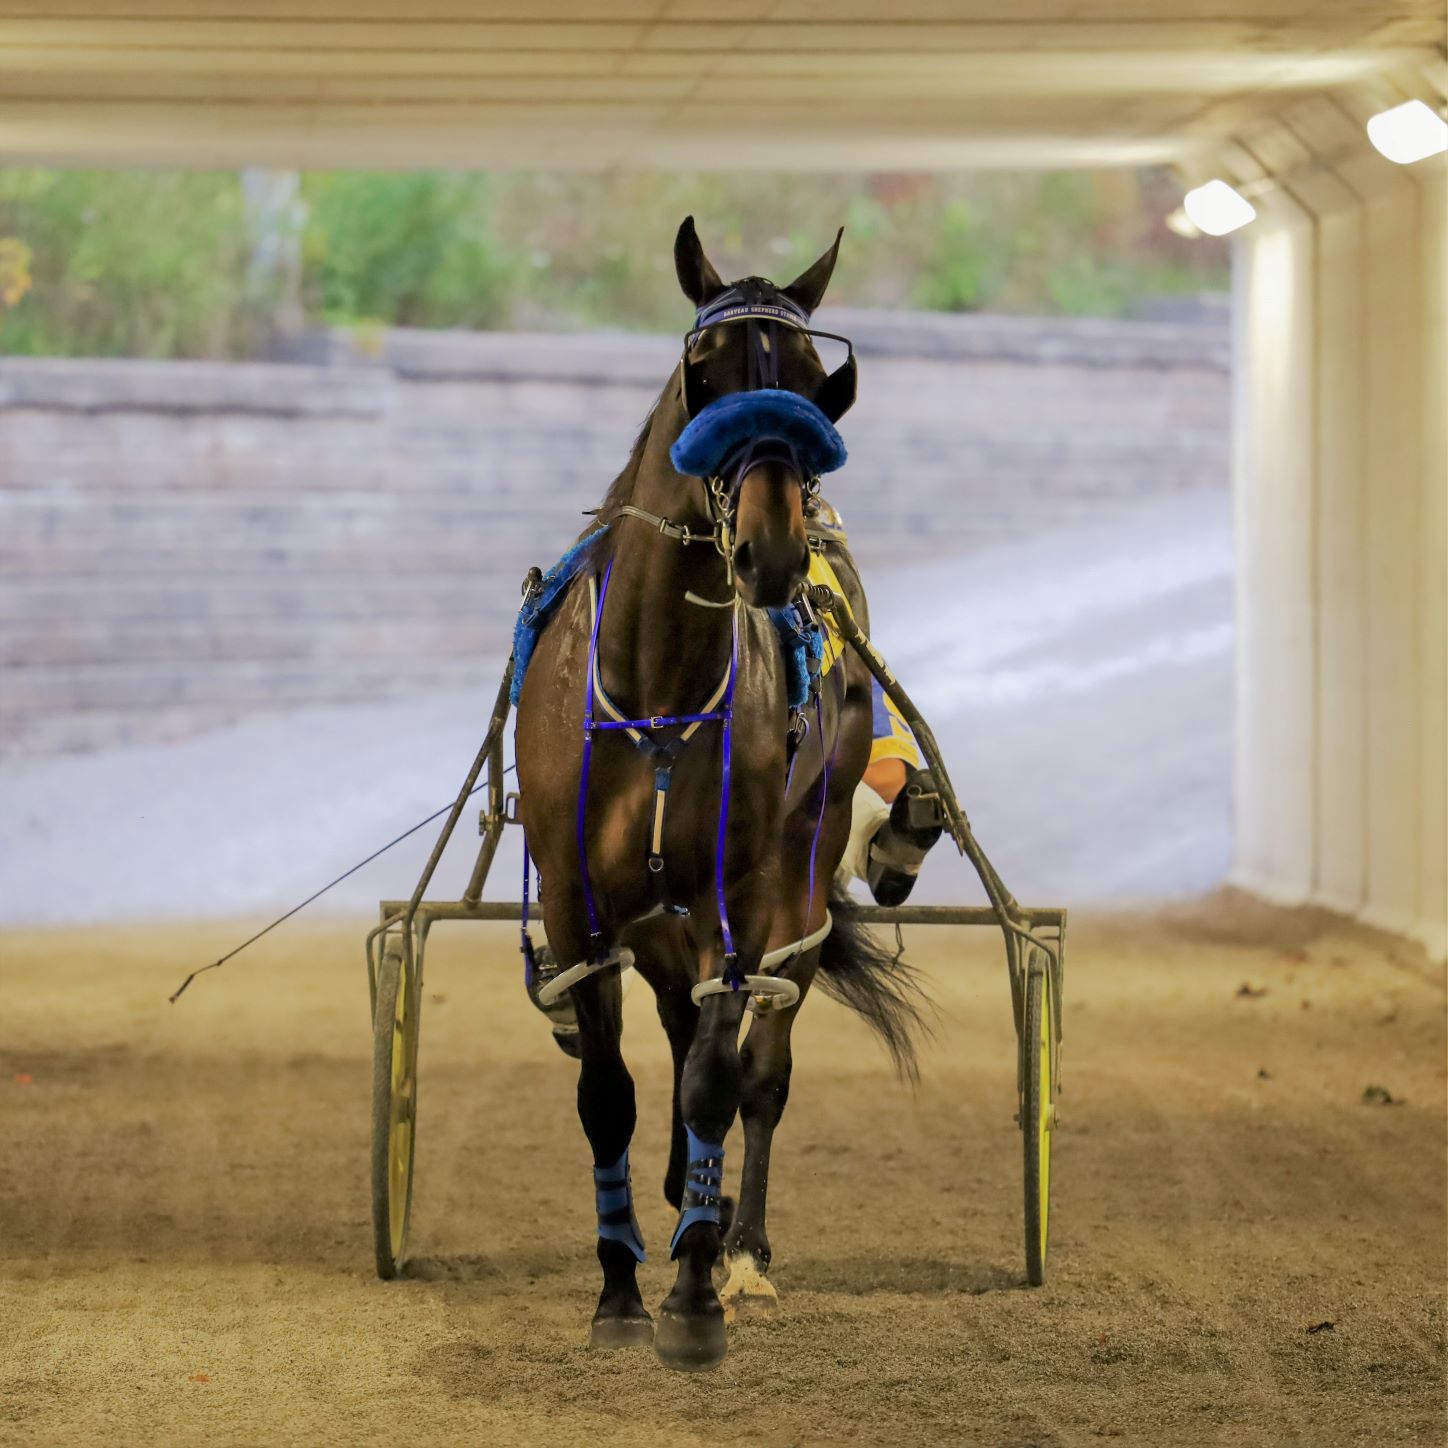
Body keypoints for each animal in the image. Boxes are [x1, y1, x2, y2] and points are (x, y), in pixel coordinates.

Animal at [515, 220, 926, 1372]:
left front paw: (694, 1295)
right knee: (668, 1028)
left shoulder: (726, 900)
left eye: (814, 384)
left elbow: (714, 1075)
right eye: (705, 371)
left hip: (799, 864)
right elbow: (605, 1091)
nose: (772, 549)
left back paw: (735, 1244)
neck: (654, 679)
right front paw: (617, 1287)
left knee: (762, 1060)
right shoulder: (577, 900)